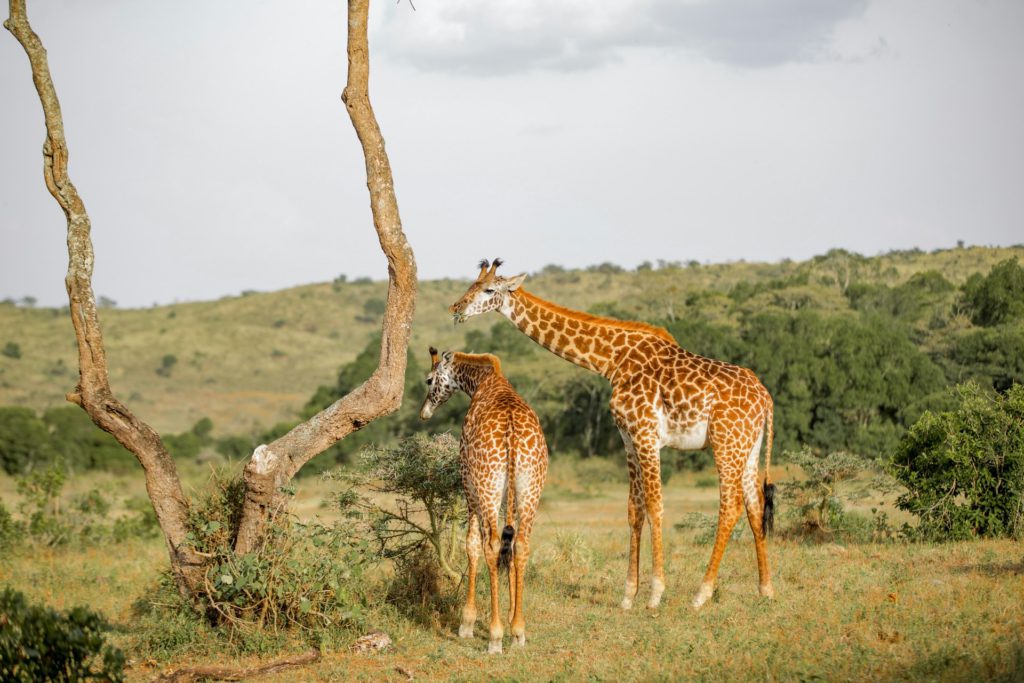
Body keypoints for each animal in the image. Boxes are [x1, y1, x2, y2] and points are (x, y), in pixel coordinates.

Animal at [420, 346, 549, 653]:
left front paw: (466, 623)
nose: (424, 412)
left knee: (490, 545)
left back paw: (494, 636)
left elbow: (471, 544)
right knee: (521, 545)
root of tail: (512, 435)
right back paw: (518, 631)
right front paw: (513, 622)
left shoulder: (467, 483)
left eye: (429, 380)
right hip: (530, 488)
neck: (481, 382)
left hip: (486, 486)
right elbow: (509, 547)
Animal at [448, 259, 775, 610]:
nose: (456, 308)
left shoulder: (646, 433)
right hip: (748, 447)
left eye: (488, 290)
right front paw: (628, 594)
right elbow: (635, 509)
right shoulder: (628, 437)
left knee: (730, 507)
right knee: (755, 505)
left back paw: (702, 593)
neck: (612, 360)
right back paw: (765, 588)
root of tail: (766, 398)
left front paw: (656, 592)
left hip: (725, 444)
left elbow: (656, 506)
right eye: (471, 285)